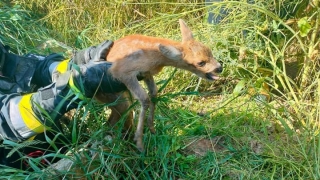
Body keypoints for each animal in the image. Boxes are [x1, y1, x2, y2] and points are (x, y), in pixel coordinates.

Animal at [93, 19, 222, 151]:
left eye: (210, 51)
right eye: (201, 62)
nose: (219, 68)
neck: (155, 57)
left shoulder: (146, 73)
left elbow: (154, 93)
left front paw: (151, 128)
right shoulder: (123, 72)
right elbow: (144, 99)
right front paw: (139, 142)